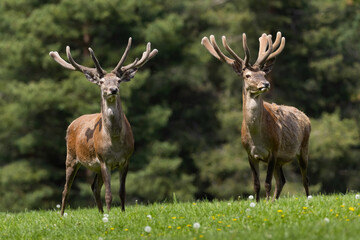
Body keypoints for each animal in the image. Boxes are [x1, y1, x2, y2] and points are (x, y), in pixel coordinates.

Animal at [49, 38, 158, 216]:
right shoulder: (104, 160)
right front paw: (110, 212)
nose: (113, 90)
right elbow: (109, 193)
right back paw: (62, 214)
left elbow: (122, 191)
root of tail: (72, 123)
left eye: (118, 81)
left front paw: (122, 212)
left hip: (96, 167)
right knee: (66, 188)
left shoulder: (126, 159)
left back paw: (101, 213)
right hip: (71, 157)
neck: (115, 142)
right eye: (101, 82)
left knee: (94, 187)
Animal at [201, 31, 310, 201]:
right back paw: (274, 200)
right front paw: (259, 203)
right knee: (281, 180)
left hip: (304, 147)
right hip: (280, 160)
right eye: (247, 75)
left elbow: (267, 183)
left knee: (305, 179)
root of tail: (306, 117)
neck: (257, 137)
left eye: (264, 73)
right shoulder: (250, 153)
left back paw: (307, 198)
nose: (265, 84)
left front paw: (265, 202)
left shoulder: (273, 150)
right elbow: (256, 183)